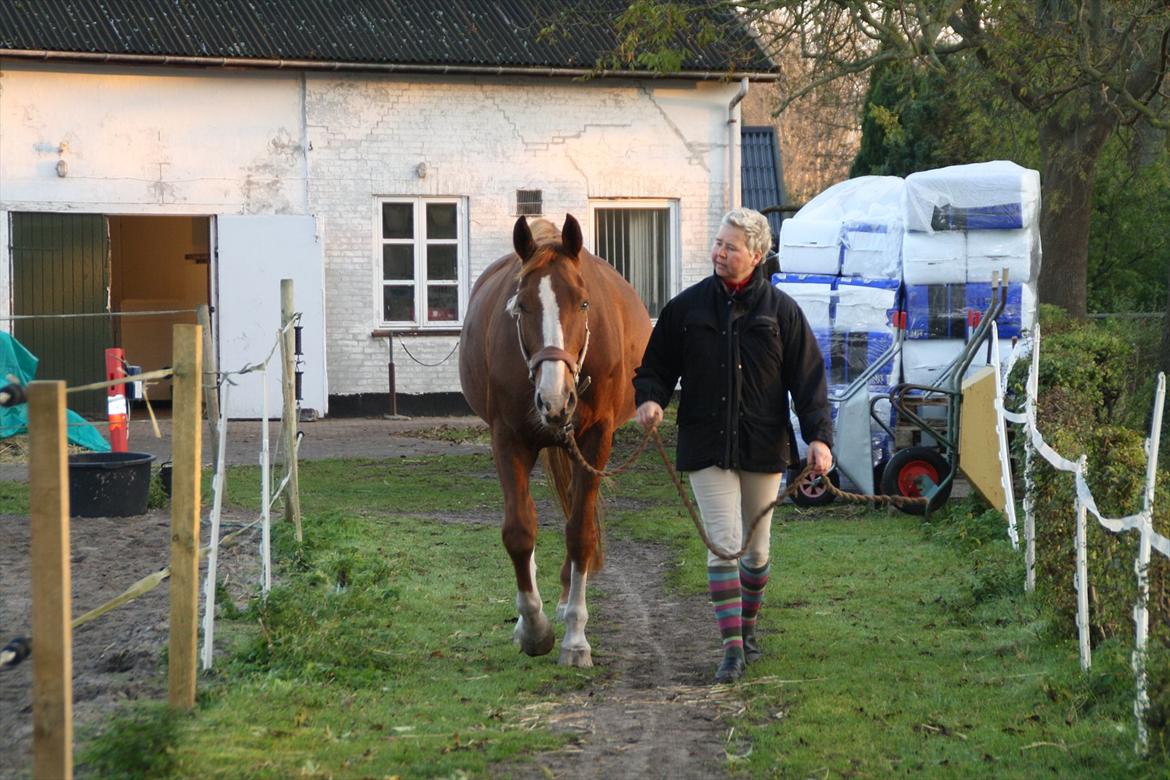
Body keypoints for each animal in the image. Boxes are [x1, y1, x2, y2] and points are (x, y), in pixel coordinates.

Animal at [458, 216, 659, 668]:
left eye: (583, 304)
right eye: (520, 306)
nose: (554, 399)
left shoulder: (597, 439)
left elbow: (580, 531)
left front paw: (575, 638)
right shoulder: (507, 439)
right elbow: (519, 530)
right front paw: (534, 629)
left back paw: (569, 604)